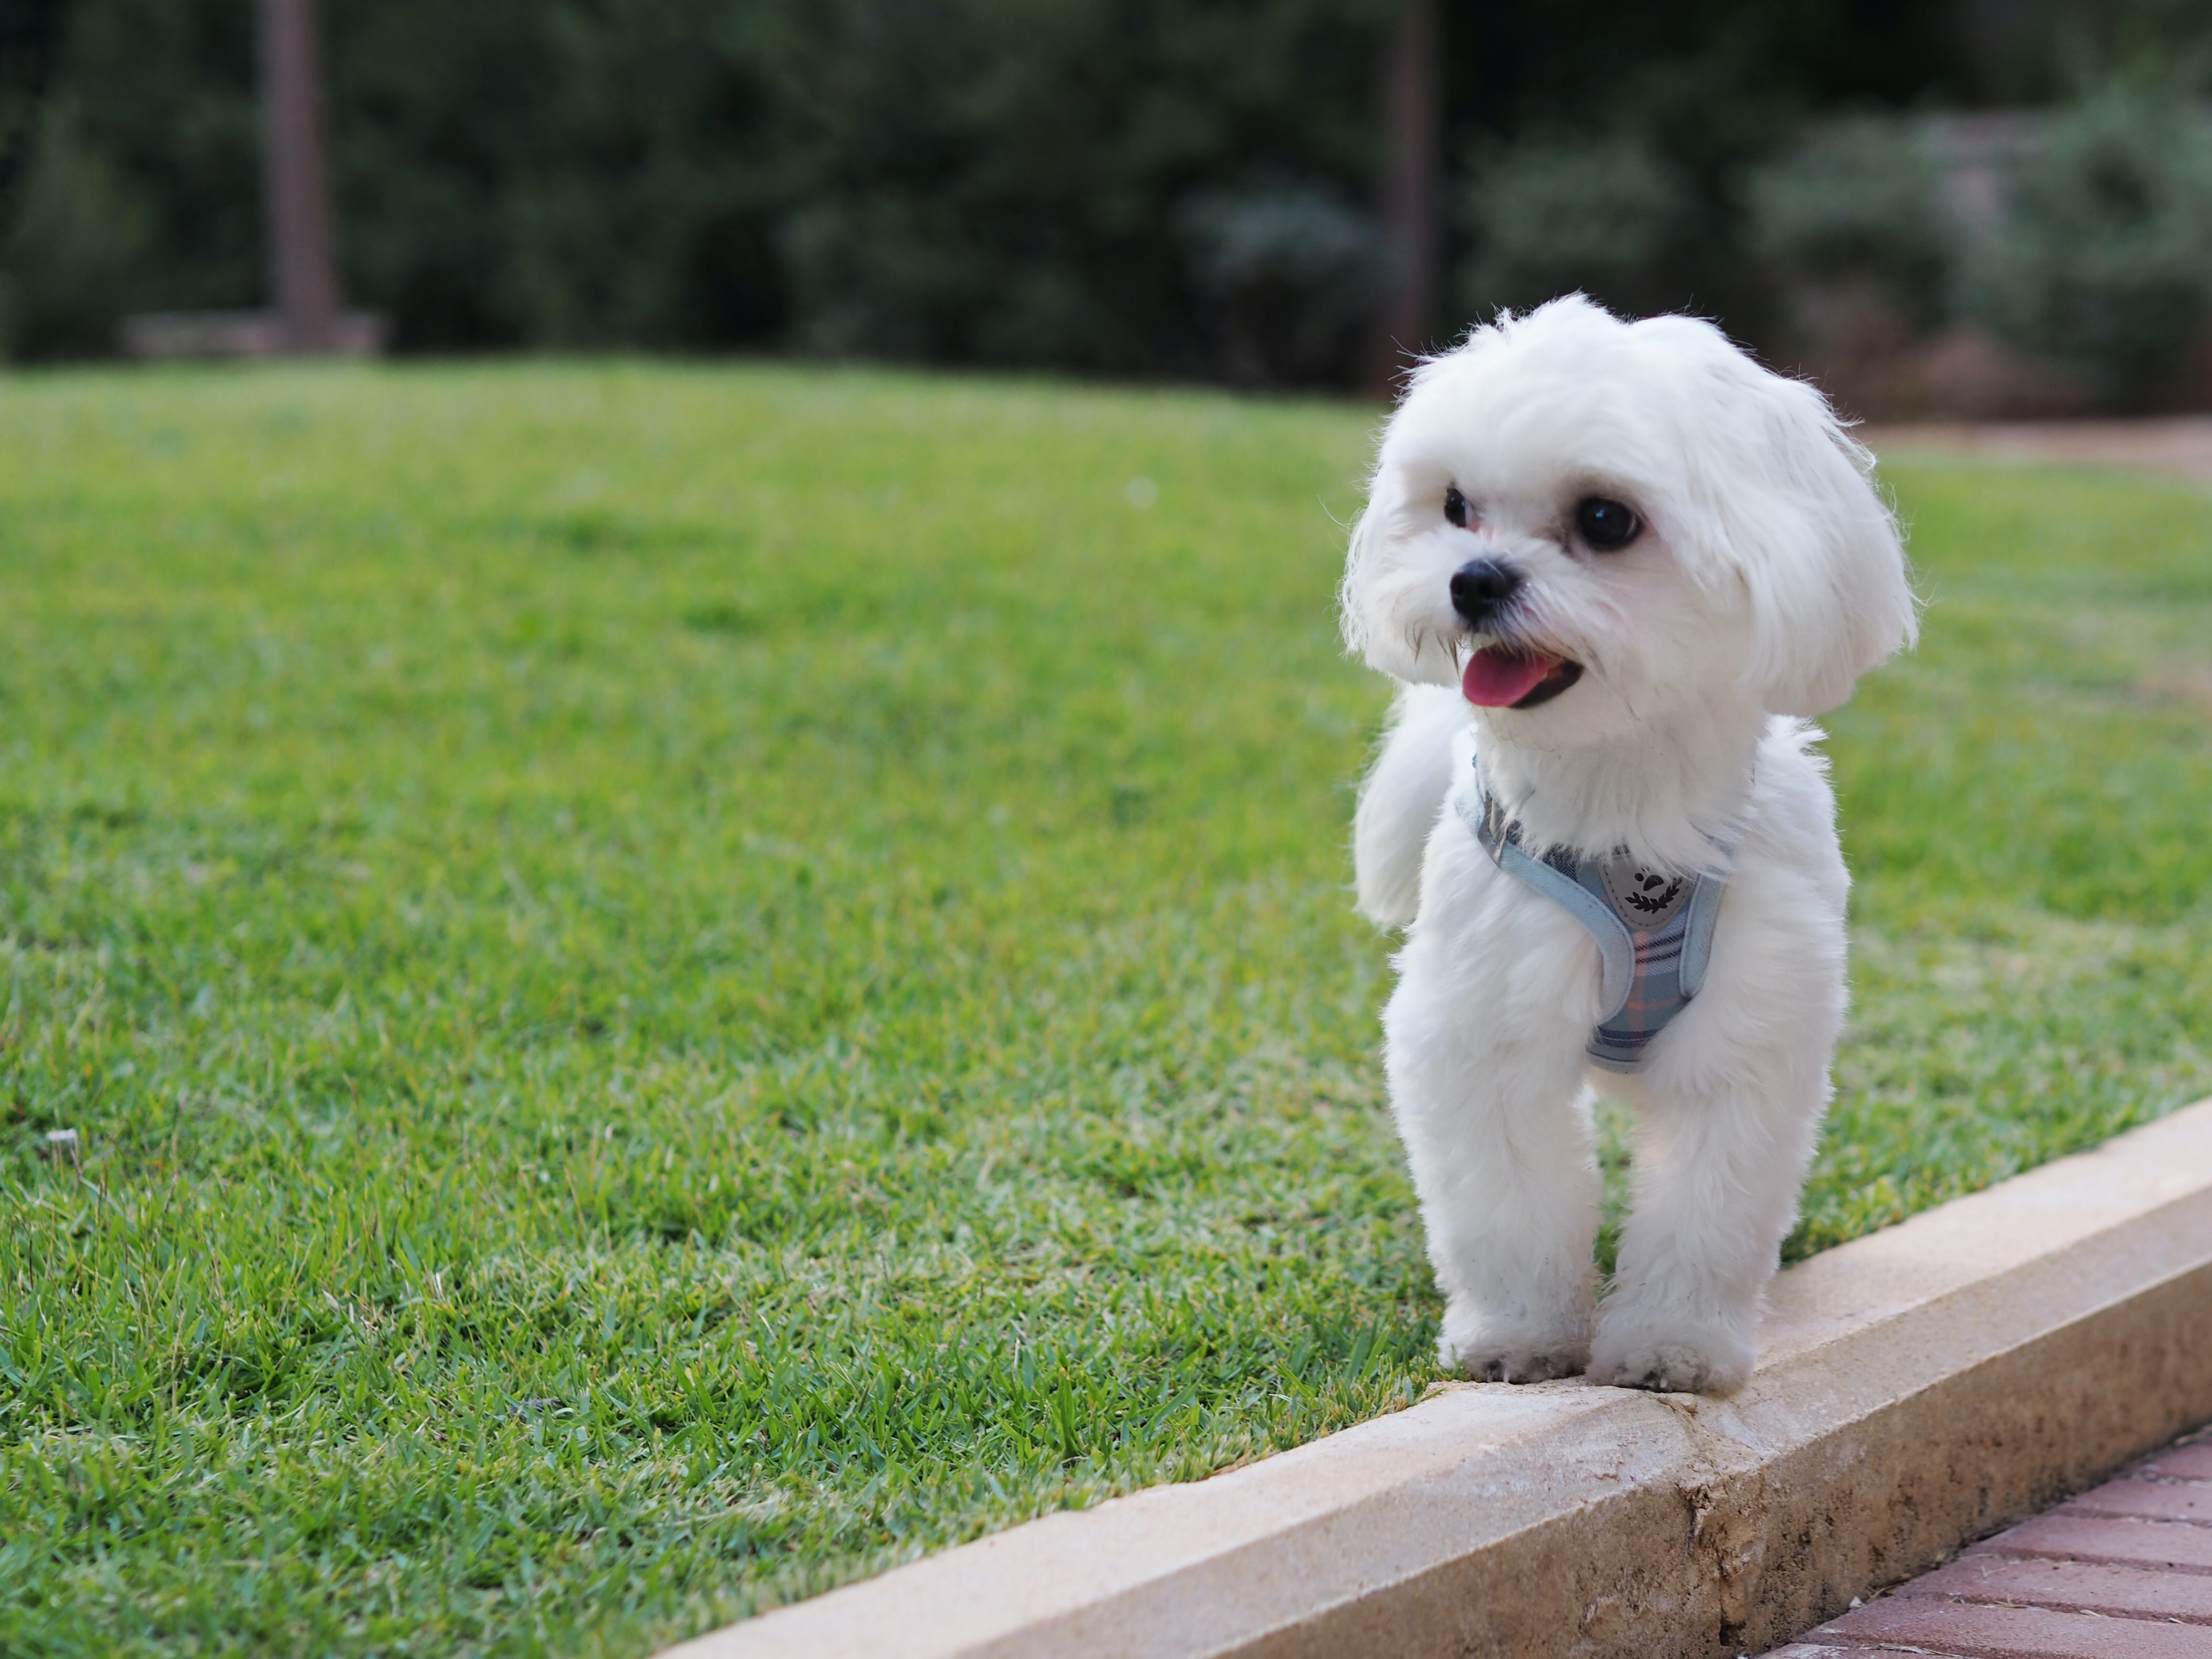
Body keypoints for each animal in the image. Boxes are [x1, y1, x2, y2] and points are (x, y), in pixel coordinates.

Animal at [1336, 296, 1911, 1389]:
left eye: (1605, 520)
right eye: (1454, 505)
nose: (1471, 579)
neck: (1620, 798)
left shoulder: (1744, 1038)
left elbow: (1704, 1211)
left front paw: (1670, 1344)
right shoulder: (1482, 1024)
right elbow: (1508, 1202)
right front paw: (1520, 1334)